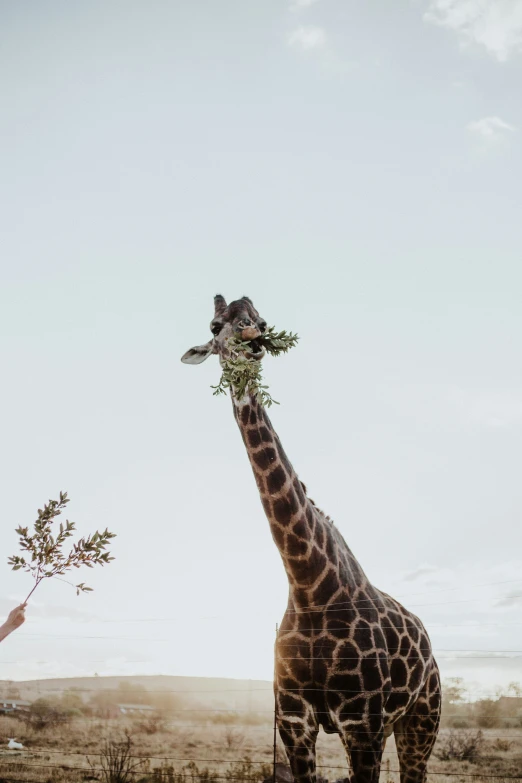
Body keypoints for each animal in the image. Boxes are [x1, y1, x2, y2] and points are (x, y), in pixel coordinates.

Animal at [181, 296, 440, 783]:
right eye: (215, 326)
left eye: (261, 320)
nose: (252, 339)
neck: (308, 583)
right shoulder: (294, 720)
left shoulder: (362, 722)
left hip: (422, 718)